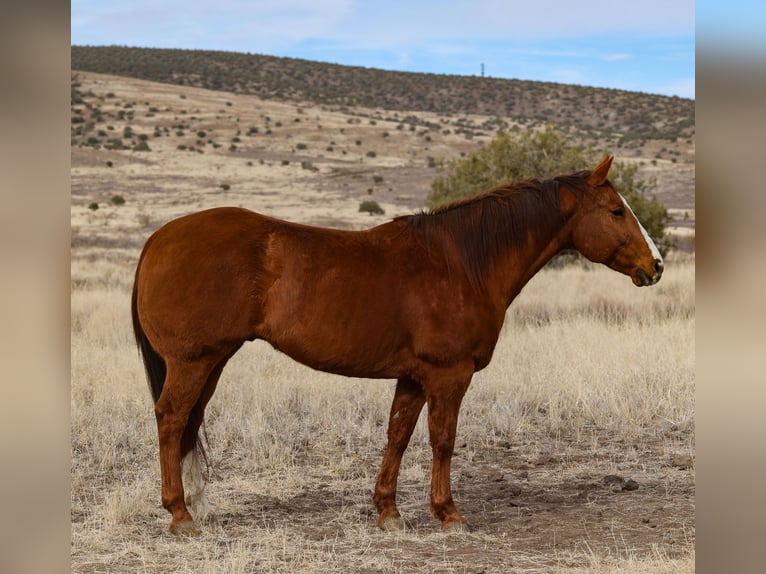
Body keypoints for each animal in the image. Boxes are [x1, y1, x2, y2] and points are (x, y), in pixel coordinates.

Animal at [134, 156, 664, 536]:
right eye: (616, 211)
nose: (656, 265)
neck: (463, 263)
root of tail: (158, 239)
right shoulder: (449, 375)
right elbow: (442, 440)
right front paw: (448, 514)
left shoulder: (412, 377)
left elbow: (398, 436)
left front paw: (388, 512)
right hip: (193, 362)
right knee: (172, 420)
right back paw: (180, 515)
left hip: (213, 361)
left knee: (190, 423)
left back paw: (200, 507)